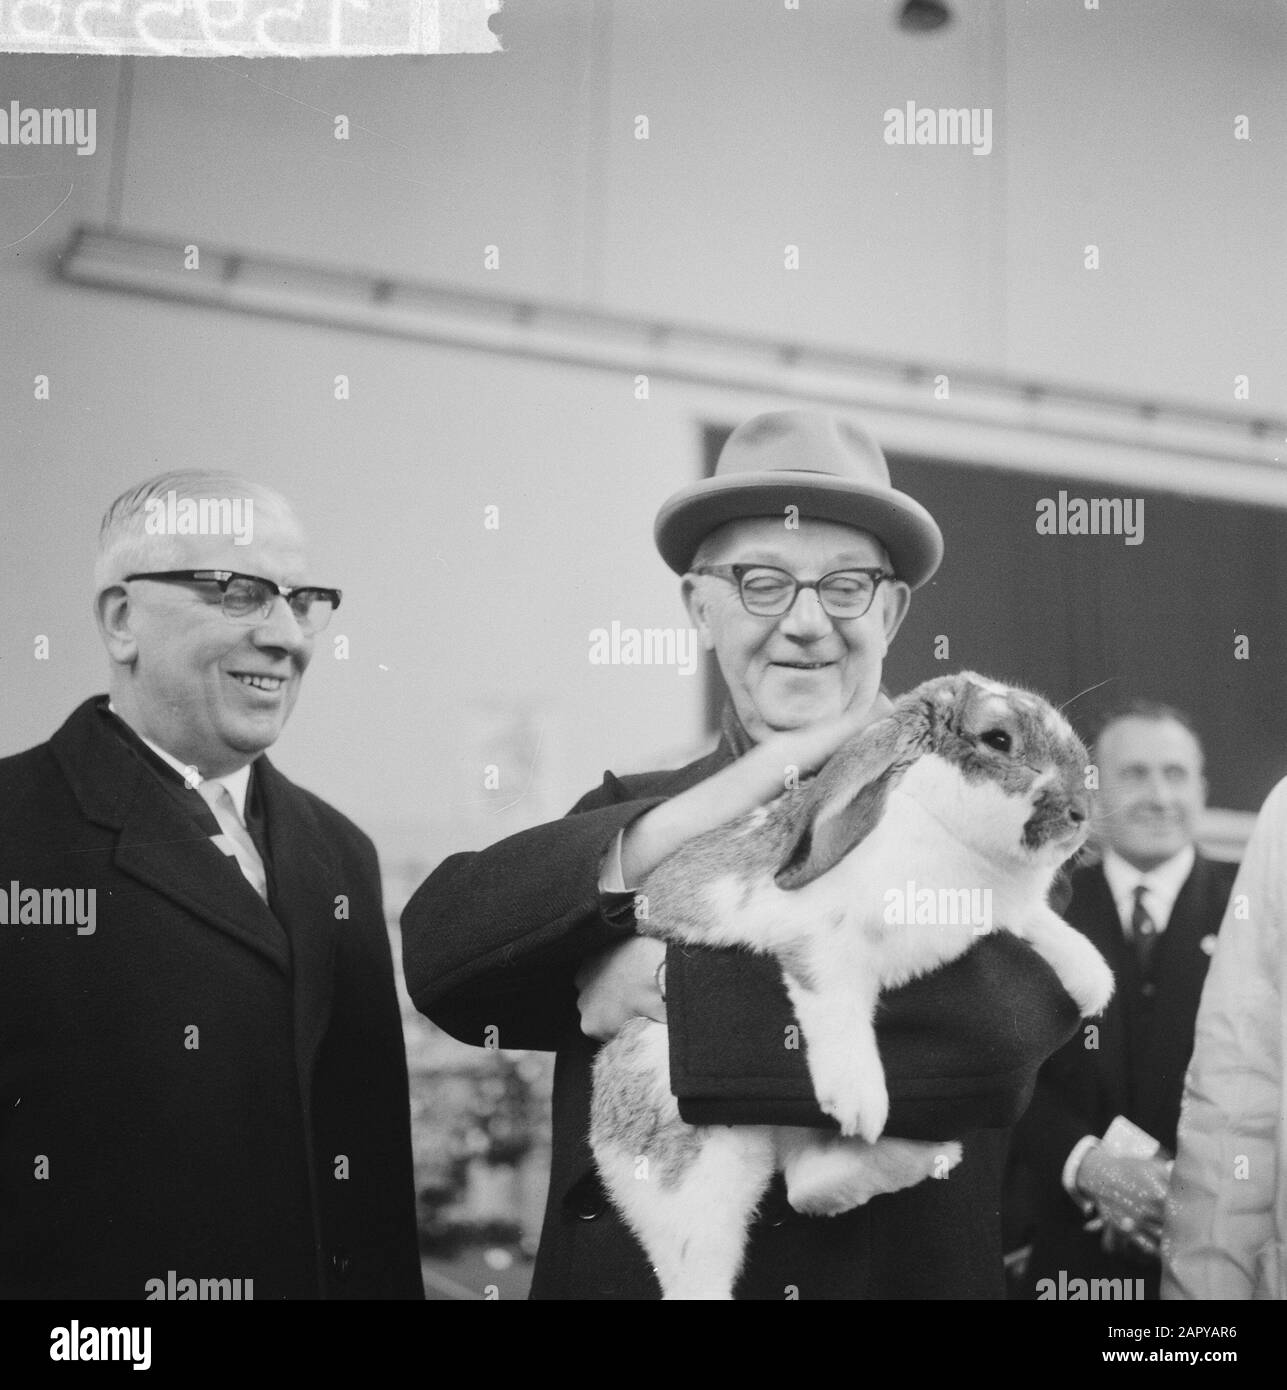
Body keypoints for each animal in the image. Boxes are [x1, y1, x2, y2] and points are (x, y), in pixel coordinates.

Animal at [589, 672, 1111, 1301]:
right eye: (999, 739)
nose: (1081, 813)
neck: (946, 833)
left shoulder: (1012, 914)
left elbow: (1045, 926)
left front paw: (1095, 982)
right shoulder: (820, 949)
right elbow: (837, 1014)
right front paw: (861, 1104)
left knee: (805, 1182)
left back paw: (912, 1158)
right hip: (694, 1156)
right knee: (704, 1262)